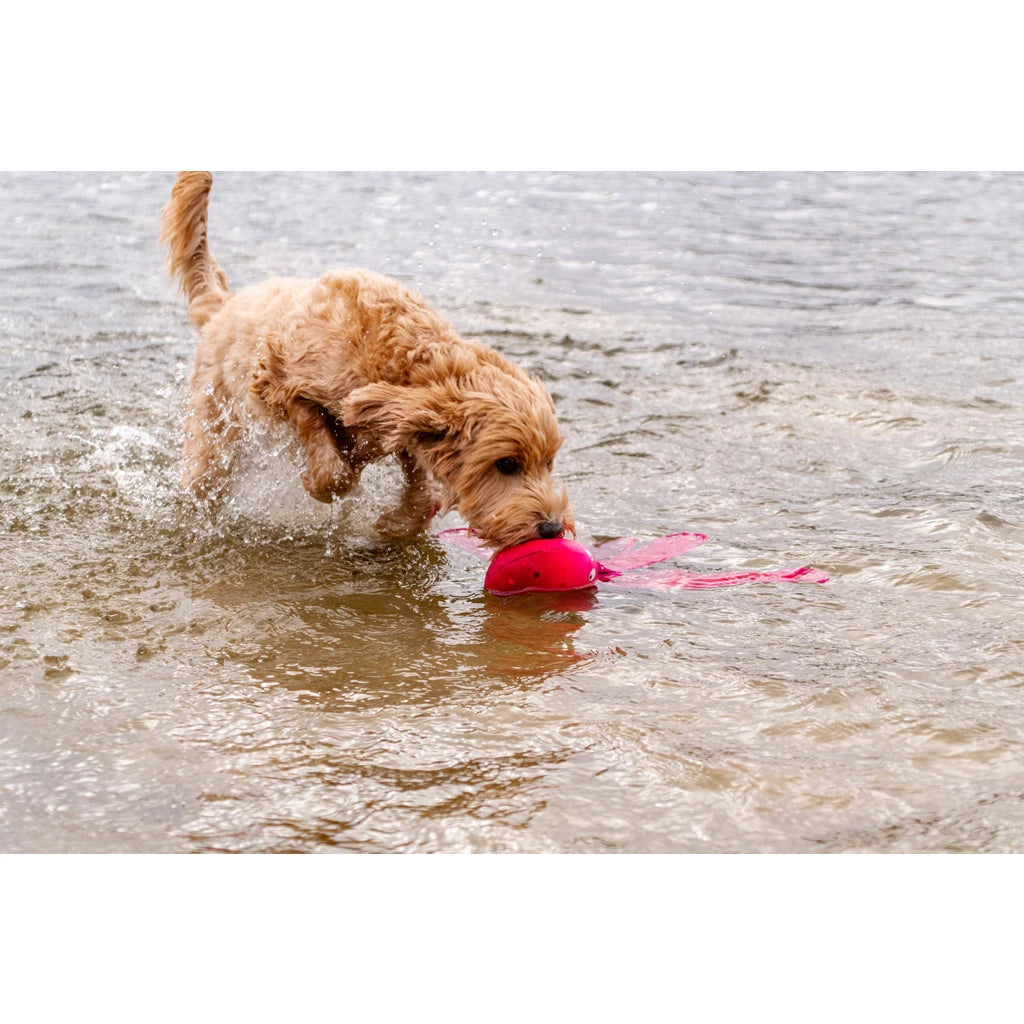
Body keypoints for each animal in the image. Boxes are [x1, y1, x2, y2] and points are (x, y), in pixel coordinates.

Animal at [160, 174, 577, 552]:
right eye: (507, 464)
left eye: (548, 462)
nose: (553, 528)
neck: (408, 356)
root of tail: (224, 305)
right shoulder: (277, 377)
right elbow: (325, 453)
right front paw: (322, 482)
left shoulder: (400, 424)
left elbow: (422, 485)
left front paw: (397, 523)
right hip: (213, 434)